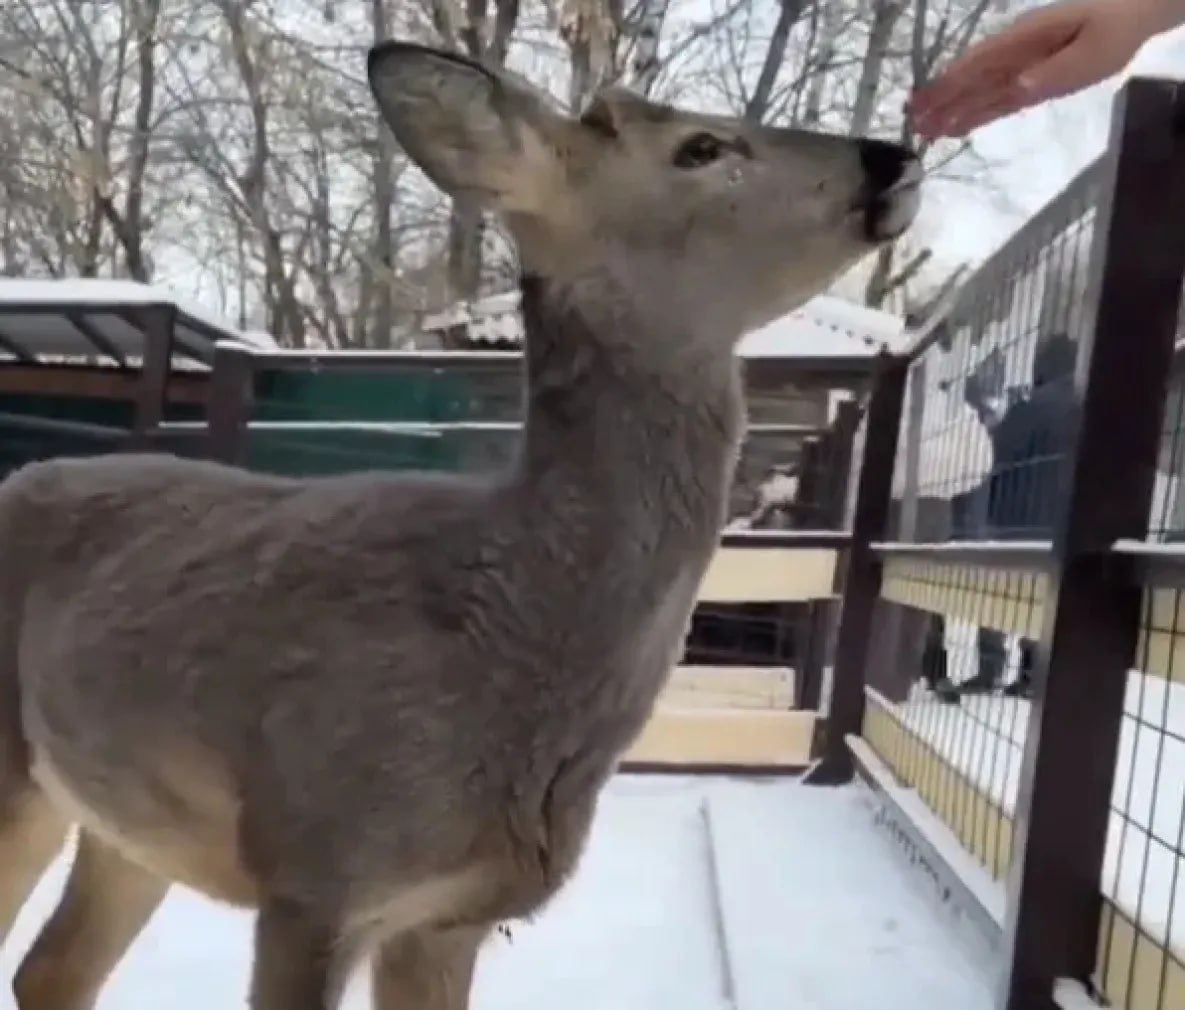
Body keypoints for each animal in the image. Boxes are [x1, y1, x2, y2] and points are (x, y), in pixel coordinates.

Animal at [0, 39, 920, 1010]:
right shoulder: (313, 872)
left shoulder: (452, 914)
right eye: (700, 148)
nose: (891, 157)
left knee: (52, 971)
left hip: (125, 820)